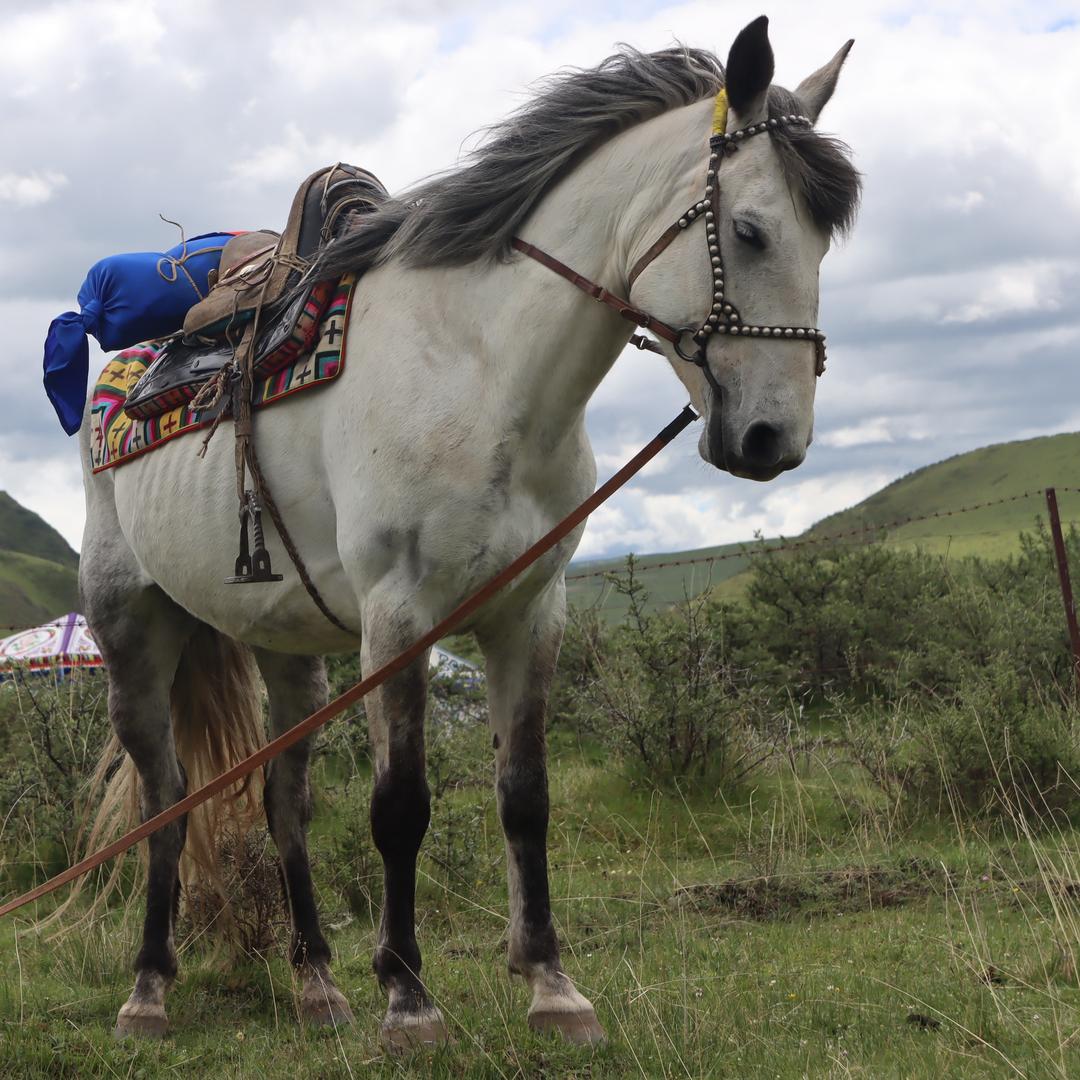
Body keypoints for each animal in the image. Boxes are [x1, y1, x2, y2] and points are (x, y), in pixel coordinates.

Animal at [77, 15, 860, 1048]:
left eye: (822, 246)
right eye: (750, 230)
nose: (775, 440)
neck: (484, 373)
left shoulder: (529, 613)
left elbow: (524, 797)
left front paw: (553, 987)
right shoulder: (400, 617)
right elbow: (400, 808)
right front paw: (408, 997)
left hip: (289, 651)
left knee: (284, 800)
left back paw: (317, 983)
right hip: (132, 630)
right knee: (165, 802)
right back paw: (149, 990)